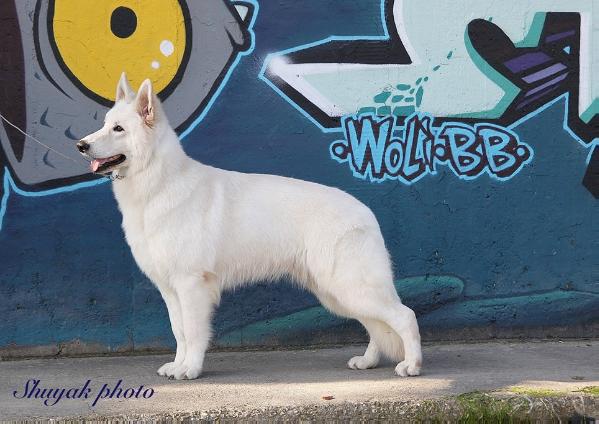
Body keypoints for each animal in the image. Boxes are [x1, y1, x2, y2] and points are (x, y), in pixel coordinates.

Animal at [76, 74, 422, 380]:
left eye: (118, 129)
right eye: (105, 123)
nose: (80, 144)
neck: (159, 184)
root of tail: (366, 212)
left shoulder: (191, 286)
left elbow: (194, 332)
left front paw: (190, 369)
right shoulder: (171, 290)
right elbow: (180, 332)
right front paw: (178, 365)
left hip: (349, 287)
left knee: (404, 316)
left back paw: (412, 366)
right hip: (338, 293)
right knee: (375, 324)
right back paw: (369, 361)